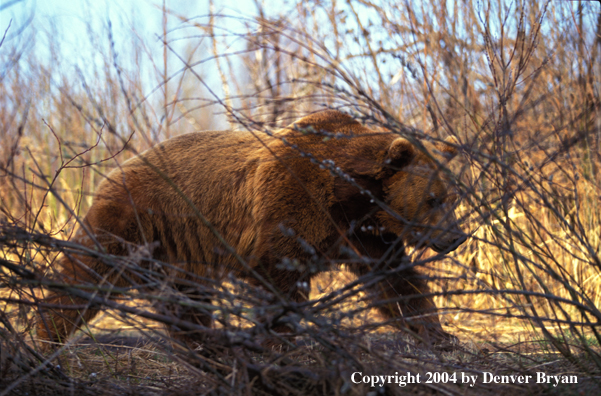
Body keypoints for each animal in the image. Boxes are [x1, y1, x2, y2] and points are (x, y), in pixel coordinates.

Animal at [37, 110, 466, 348]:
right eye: (433, 199)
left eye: (452, 197)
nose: (456, 237)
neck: (351, 196)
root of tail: (119, 166)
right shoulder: (292, 203)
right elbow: (278, 277)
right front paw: (280, 342)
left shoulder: (362, 235)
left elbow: (395, 281)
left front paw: (440, 336)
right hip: (135, 219)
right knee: (88, 273)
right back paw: (46, 334)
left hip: (180, 250)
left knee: (186, 300)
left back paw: (207, 346)